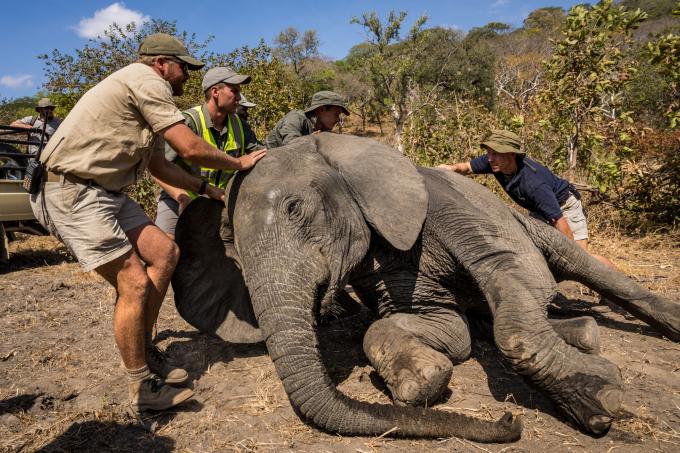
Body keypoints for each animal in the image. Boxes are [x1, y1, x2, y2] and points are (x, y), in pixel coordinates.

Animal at [171, 133, 680, 442]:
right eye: (230, 244)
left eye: (296, 209)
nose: (509, 420)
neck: (339, 150)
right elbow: (442, 327)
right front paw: (421, 380)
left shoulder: (442, 205)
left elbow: (505, 272)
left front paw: (600, 401)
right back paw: (585, 333)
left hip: (523, 217)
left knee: (578, 264)